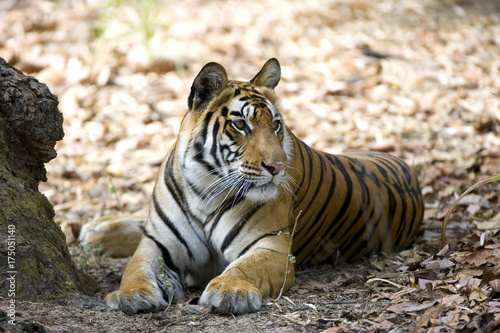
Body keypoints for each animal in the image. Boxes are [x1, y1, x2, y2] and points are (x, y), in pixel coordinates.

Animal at [105, 58, 422, 316]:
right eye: (241, 125)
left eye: (276, 125)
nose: (278, 167)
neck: (203, 191)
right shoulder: (156, 243)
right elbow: (135, 268)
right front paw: (131, 295)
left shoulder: (271, 245)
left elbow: (247, 267)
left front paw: (230, 291)